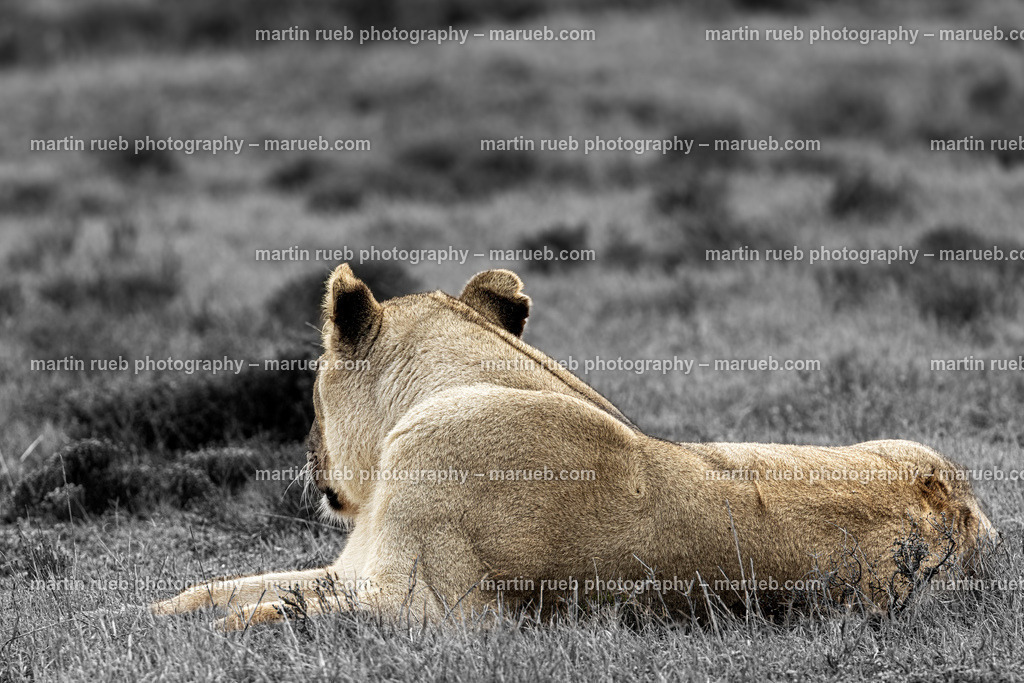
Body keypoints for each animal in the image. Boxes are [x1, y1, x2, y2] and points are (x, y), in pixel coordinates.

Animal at [151, 264, 998, 630]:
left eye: (309, 397)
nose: (310, 456)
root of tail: (961, 518)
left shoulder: (431, 613)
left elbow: (265, 615)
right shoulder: (352, 569)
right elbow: (220, 588)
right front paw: (141, 612)